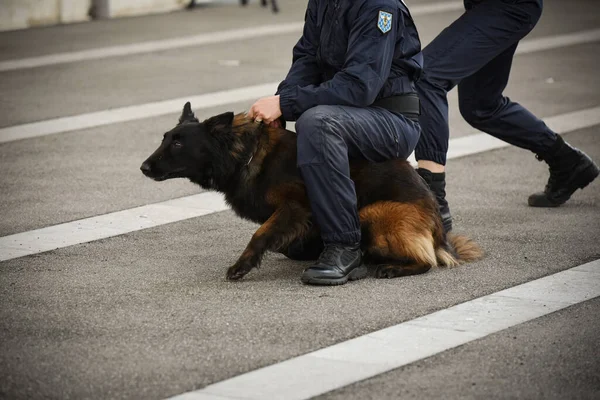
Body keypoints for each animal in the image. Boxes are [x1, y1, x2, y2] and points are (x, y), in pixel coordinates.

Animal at [141, 103, 482, 282]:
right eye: (165, 138)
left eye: (178, 143)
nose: (143, 167)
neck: (245, 154)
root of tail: (439, 234)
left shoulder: (294, 207)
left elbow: (260, 234)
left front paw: (242, 265)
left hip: (372, 212)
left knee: (427, 261)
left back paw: (392, 266)